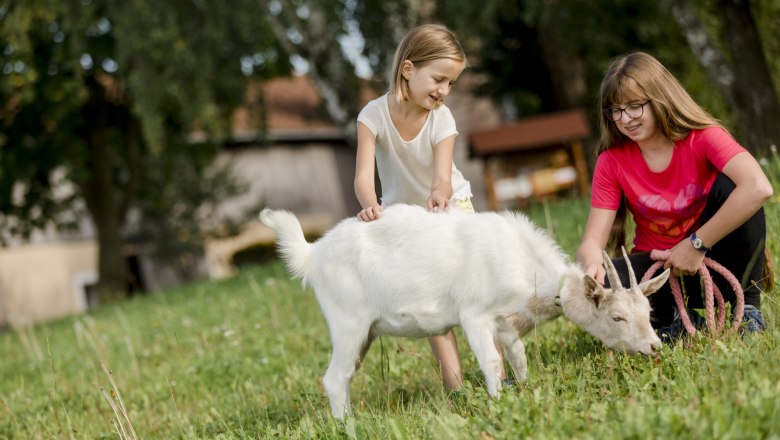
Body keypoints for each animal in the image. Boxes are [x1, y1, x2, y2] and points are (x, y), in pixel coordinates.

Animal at [259, 204, 669, 419]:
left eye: (648, 310)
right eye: (616, 317)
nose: (654, 347)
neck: (523, 261)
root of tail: (312, 255)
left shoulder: (506, 323)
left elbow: (517, 357)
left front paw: (524, 390)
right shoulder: (474, 314)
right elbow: (491, 362)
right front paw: (497, 404)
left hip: (365, 332)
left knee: (343, 378)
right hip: (348, 324)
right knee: (333, 378)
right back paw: (347, 426)